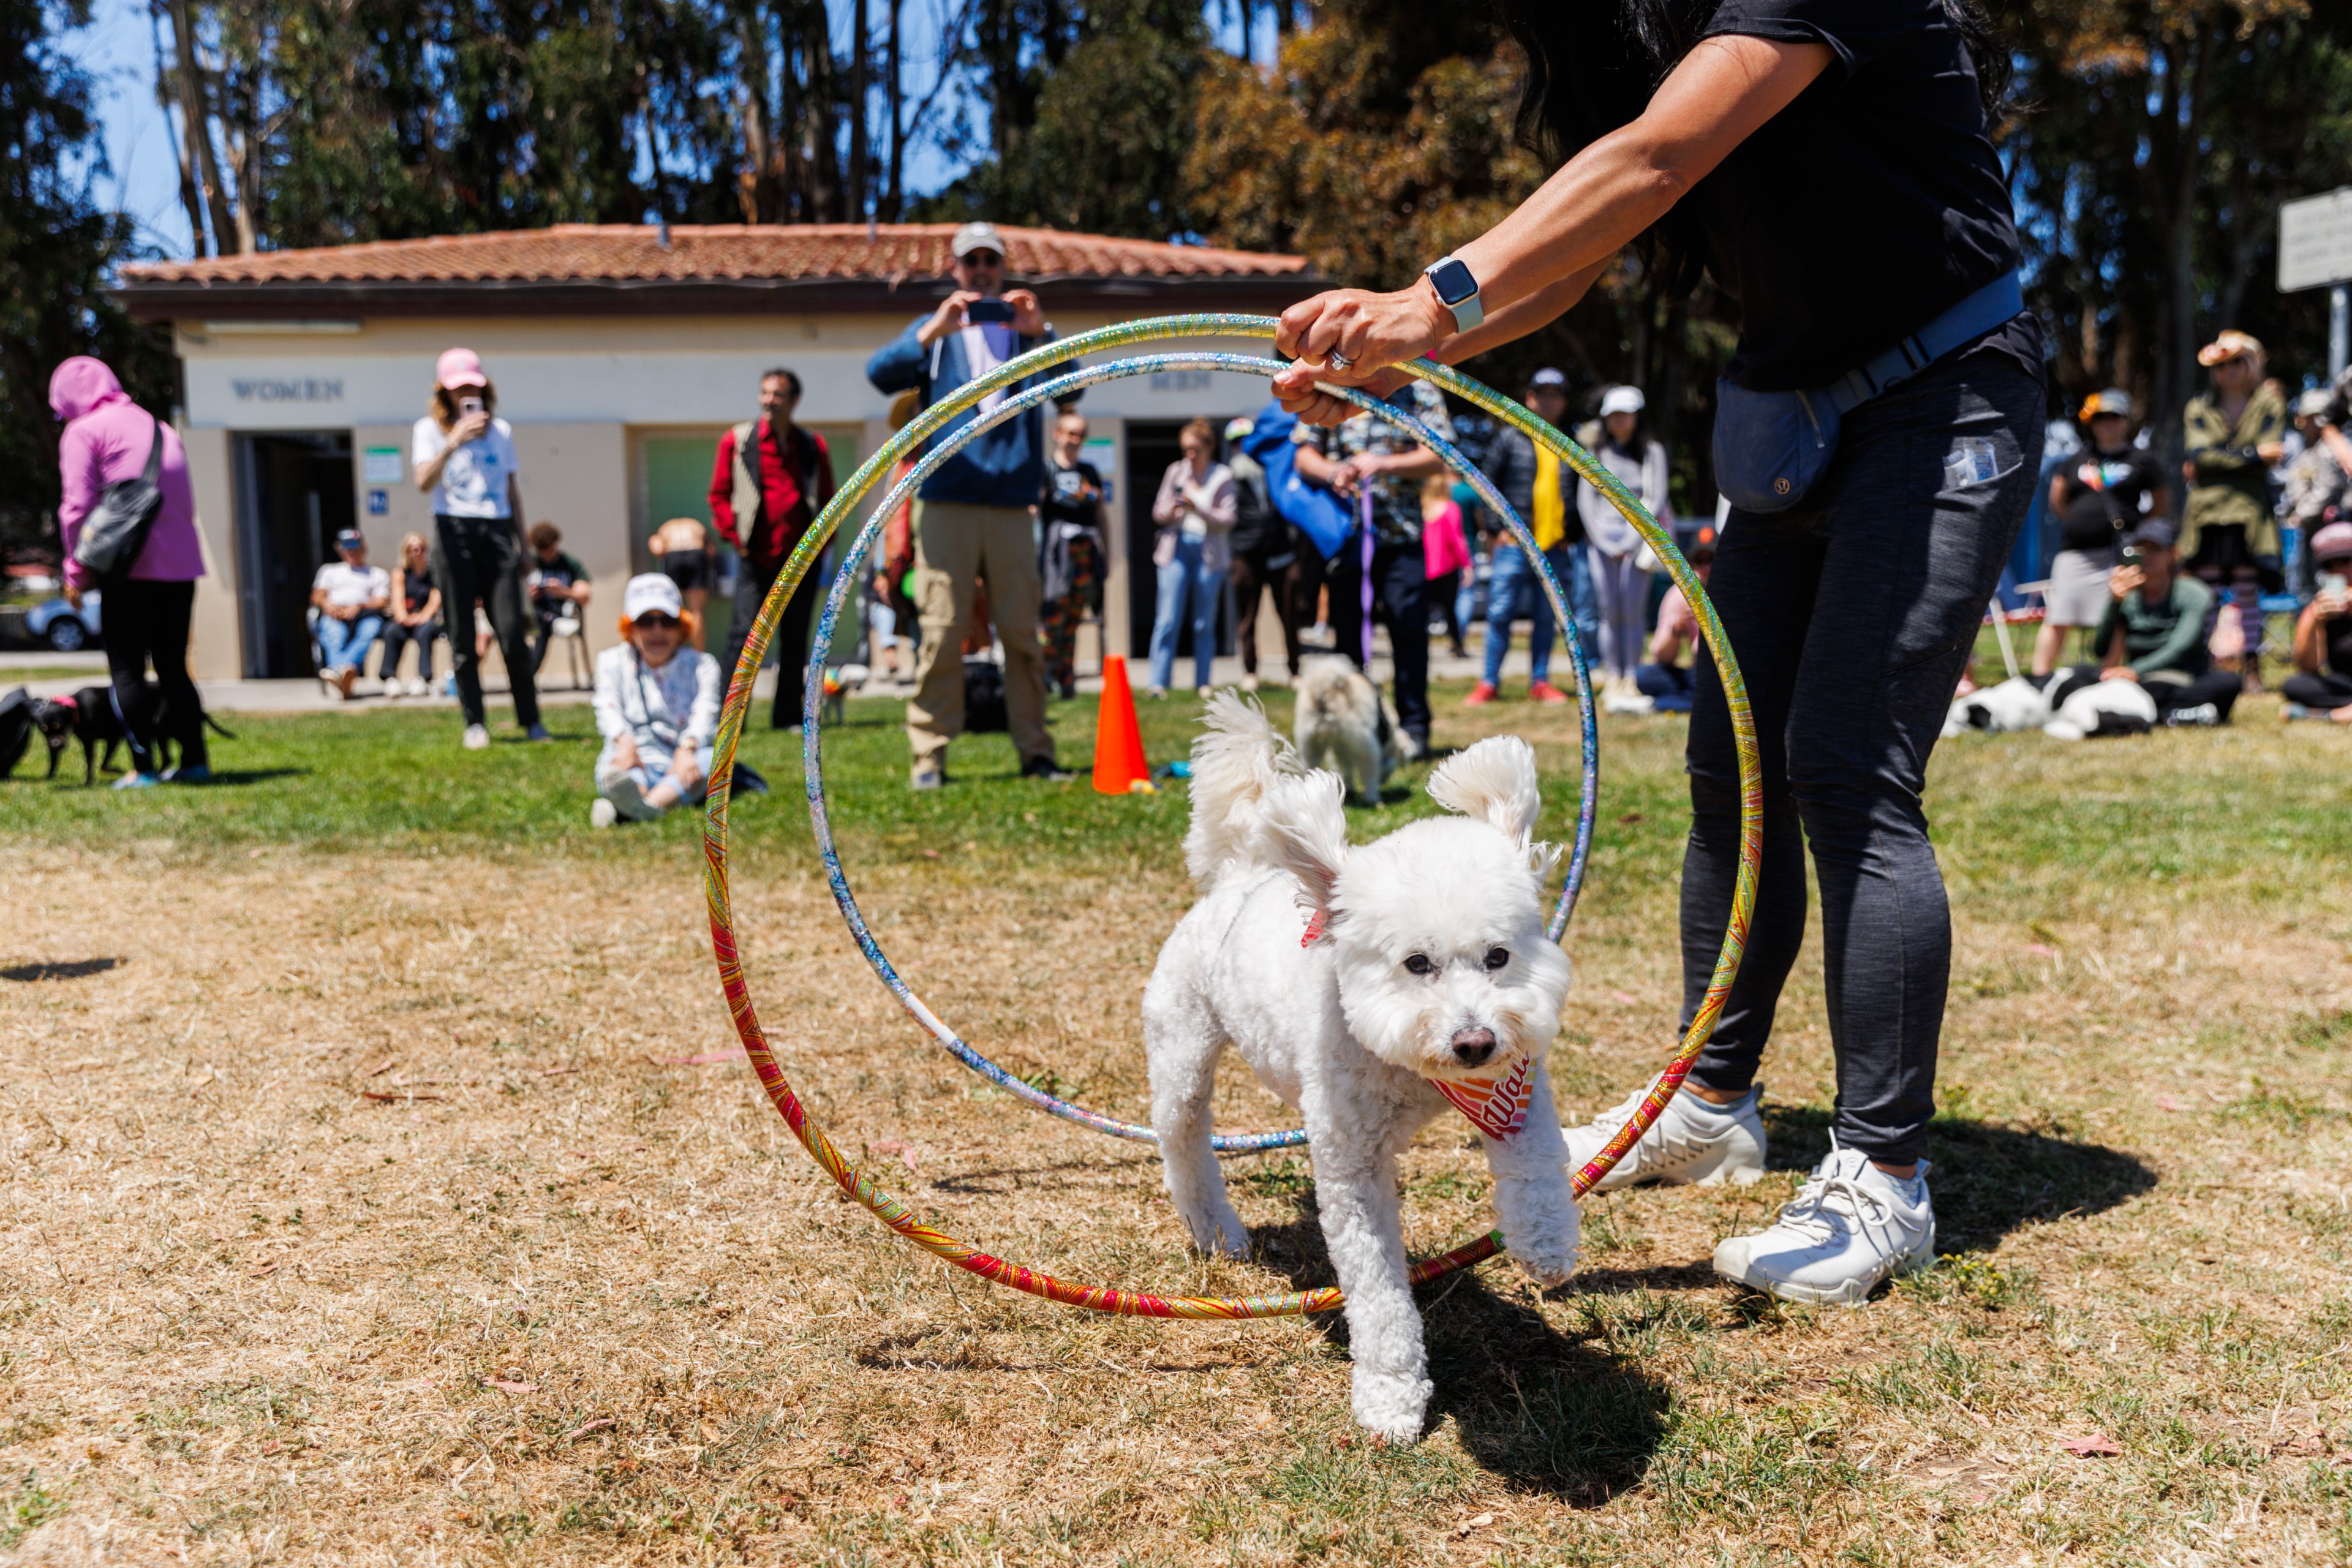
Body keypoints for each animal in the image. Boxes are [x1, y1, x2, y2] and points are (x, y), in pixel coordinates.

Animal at [34, 686, 232, 785]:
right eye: (44, 729)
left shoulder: (114, 737)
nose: (55, 745)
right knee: (170, 756)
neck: (78, 708)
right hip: (164, 732)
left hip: (162, 729)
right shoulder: (87, 741)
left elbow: (104, 765)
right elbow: (90, 765)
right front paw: (87, 783)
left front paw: (119, 770)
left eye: (58, 725)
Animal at [1143, 700, 1580, 1448]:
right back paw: (1216, 1230)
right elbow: (1376, 1291)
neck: (1415, 1073)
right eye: (1416, 964)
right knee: (1184, 1142)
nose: (1474, 1041)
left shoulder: (1516, 1085)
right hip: (1182, 1053)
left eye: (1498, 956)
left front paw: (1544, 1242)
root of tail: (1239, 874)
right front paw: (1391, 1397)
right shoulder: (1351, 1166)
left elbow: (1538, 1163)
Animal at [1298, 658, 1382, 804]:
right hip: (1364, 743)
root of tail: (1325, 688)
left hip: (1310, 745)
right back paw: (1372, 797)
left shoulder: (1341, 751)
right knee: (1369, 771)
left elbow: (1344, 770)